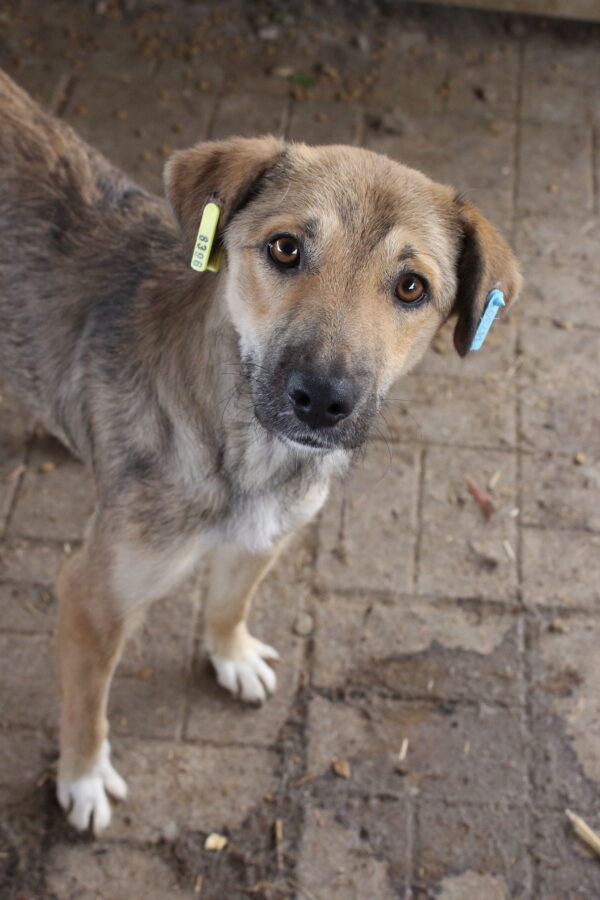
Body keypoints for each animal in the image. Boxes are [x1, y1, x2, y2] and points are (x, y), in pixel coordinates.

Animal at [0, 72, 520, 836]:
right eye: (284, 249)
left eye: (411, 287)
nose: (323, 399)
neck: (247, 452)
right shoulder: (93, 598)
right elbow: (87, 710)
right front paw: (84, 779)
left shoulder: (270, 535)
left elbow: (229, 601)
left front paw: (232, 655)